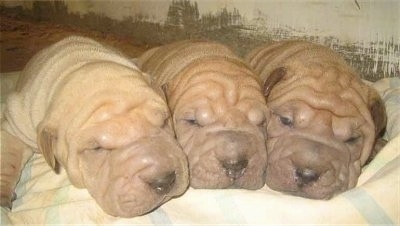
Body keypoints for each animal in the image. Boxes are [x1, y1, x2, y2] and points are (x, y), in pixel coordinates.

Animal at [0, 35, 189, 217]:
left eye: (164, 121)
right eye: (97, 148)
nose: (164, 180)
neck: (77, 63)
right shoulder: (16, 126)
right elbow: (8, 158)